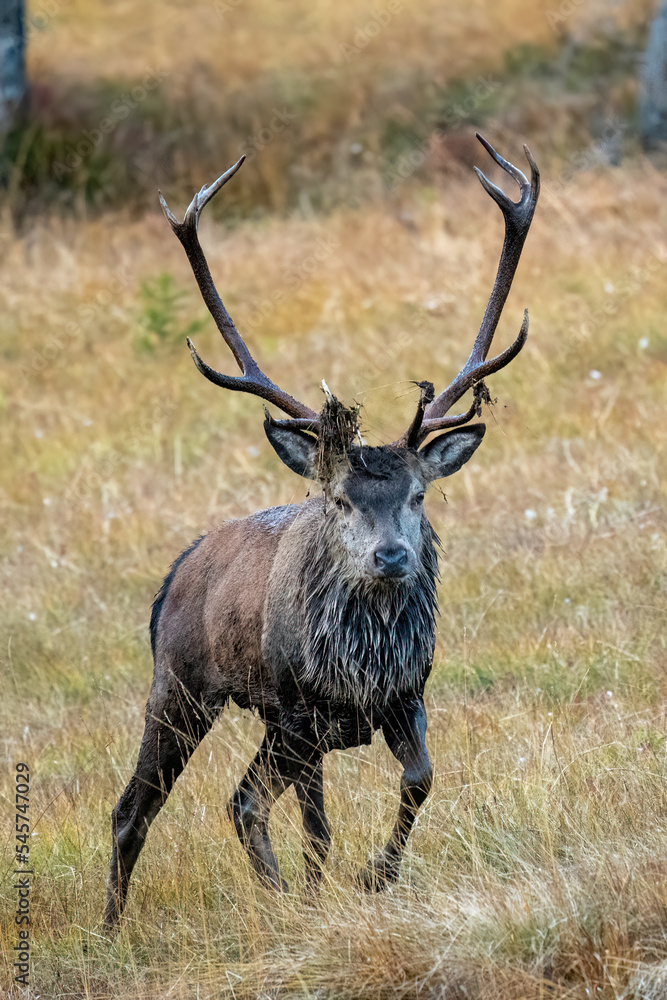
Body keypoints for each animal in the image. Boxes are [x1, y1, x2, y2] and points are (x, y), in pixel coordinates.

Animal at [103, 133, 539, 929]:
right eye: (337, 499)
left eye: (420, 494)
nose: (391, 556)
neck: (359, 668)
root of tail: (175, 573)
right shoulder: (301, 710)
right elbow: (319, 826)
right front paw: (328, 891)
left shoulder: (403, 695)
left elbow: (420, 779)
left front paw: (374, 877)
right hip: (180, 684)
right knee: (134, 809)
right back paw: (112, 928)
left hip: (262, 724)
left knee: (240, 801)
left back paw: (274, 897)